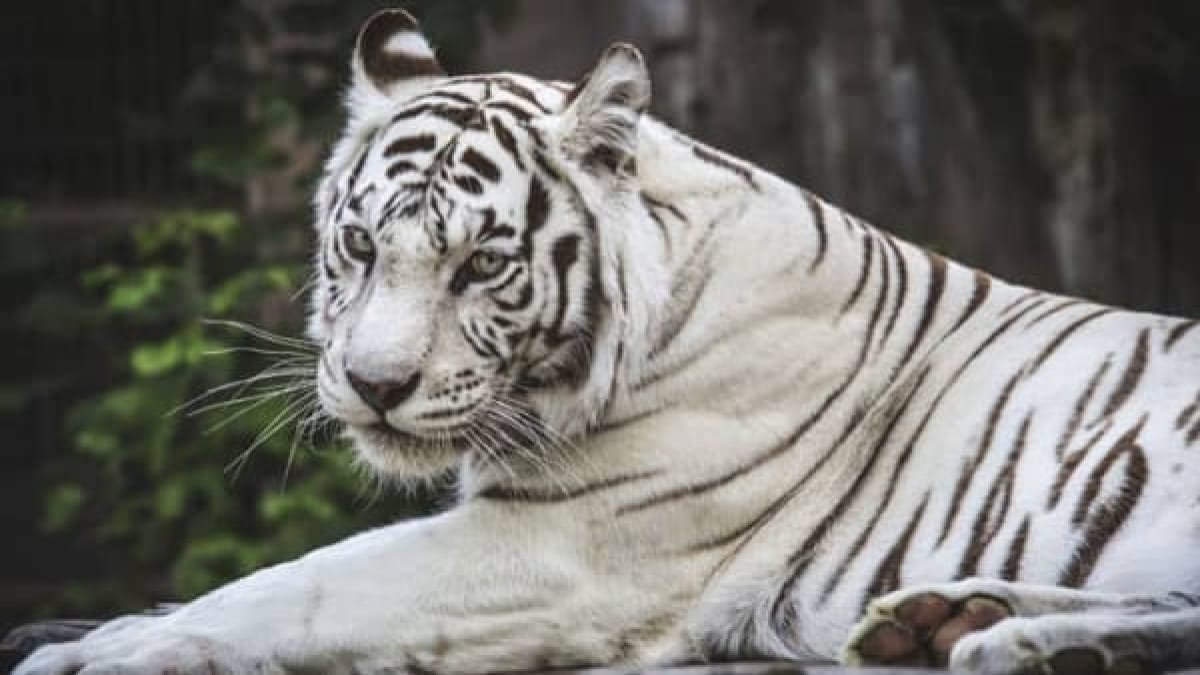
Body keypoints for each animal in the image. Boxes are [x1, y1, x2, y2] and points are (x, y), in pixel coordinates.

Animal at [15, 9, 1200, 675]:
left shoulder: (561, 547)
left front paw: (102, 652)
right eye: (357, 244)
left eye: (481, 265)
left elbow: (302, 584)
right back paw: (952, 621)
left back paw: (1012, 641)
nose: (374, 385)